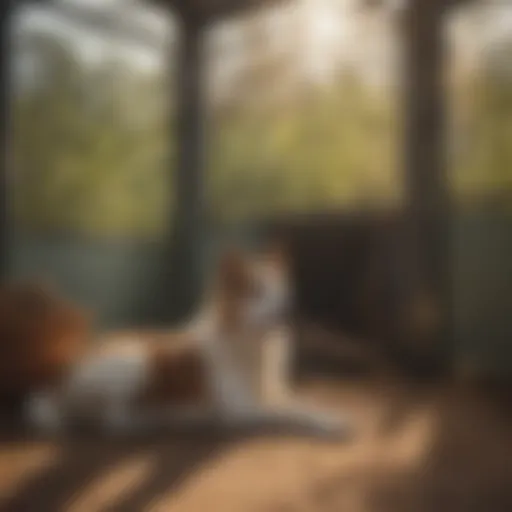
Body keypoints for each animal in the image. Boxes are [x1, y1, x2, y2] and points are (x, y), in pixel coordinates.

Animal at [27, 246, 348, 438]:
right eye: (256, 290)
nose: (290, 308)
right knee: (111, 421)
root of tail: (61, 383)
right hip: (135, 364)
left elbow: (301, 402)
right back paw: (164, 420)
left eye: (283, 290)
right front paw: (331, 423)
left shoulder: (276, 391)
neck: (252, 344)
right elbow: (291, 412)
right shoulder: (242, 410)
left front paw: (328, 412)